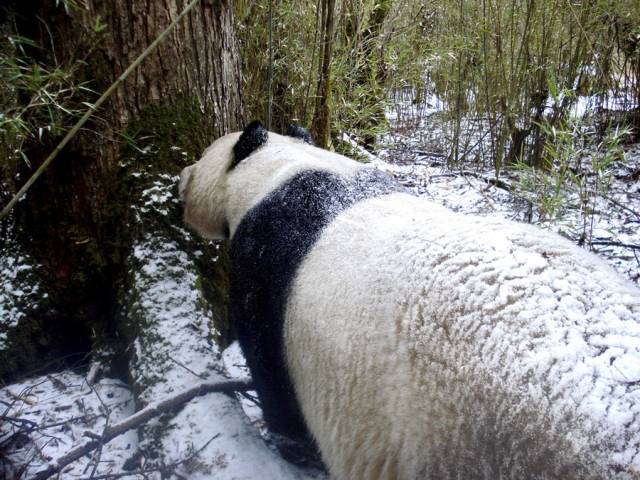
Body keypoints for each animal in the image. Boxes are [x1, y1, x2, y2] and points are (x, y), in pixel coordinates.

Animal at [179, 122, 640, 478]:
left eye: (201, 157)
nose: (180, 177)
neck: (281, 171)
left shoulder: (265, 273)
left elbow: (274, 381)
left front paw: (294, 449)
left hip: (480, 441)